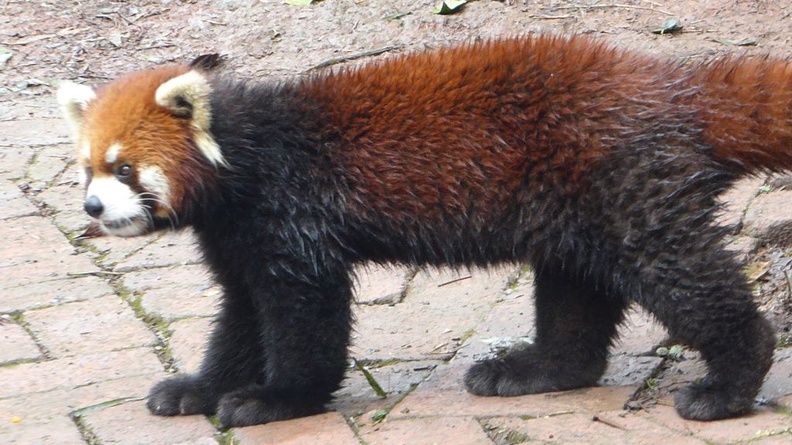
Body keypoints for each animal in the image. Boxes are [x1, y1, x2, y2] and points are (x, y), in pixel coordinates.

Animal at [57, 35, 784, 426]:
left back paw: (728, 383)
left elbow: (306, 321)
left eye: (125, 168)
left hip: (627, 195)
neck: (248, 157)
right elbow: (239, 322)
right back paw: (535, 370)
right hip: (574, 211)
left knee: (683, 275)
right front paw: (200, 389)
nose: (92, 207)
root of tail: (669, 84)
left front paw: (277, 398)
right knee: (576, 297)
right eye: (87, 168)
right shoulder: (238, 244)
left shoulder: (294, 220)